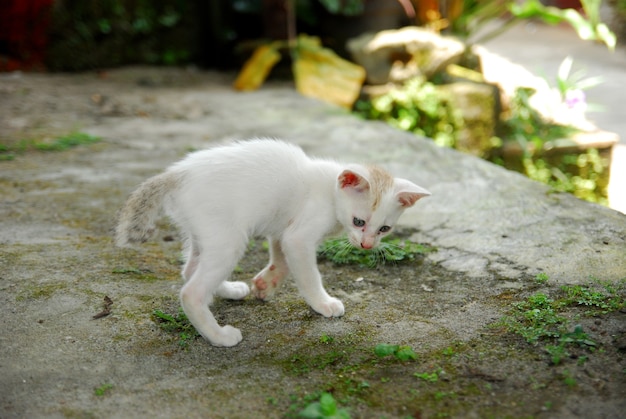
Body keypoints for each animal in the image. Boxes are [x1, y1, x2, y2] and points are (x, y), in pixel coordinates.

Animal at [116, 139, 428, 346]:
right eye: (359, 222)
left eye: (384, 229)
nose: (366, 245)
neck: (329, 190)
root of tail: (178, 174)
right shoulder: (299, 236)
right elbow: (308, 275)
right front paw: (323, 304)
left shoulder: (283, 228)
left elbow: (281, 258)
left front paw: (268, 283)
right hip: (229, 237)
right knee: (191, 291)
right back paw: (219, 336)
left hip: (205, 232)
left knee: (190, 270)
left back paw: (229, 290)